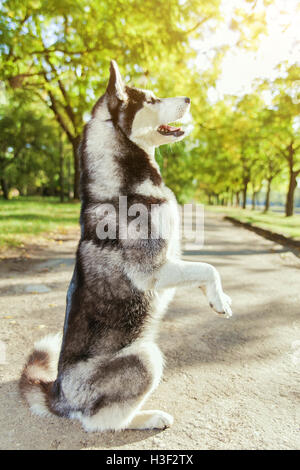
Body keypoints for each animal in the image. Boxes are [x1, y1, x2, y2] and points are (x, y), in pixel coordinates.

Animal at [19, 60, 232, 432]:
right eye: (150, 99)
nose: (189, 98)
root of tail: (57, 394)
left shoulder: (173, 259)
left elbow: (202, 271)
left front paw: (217, 298)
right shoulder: (153, 270)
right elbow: (209, 267)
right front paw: (220, 299)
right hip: (146, 356)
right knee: (99, 422)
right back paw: (147, 417)